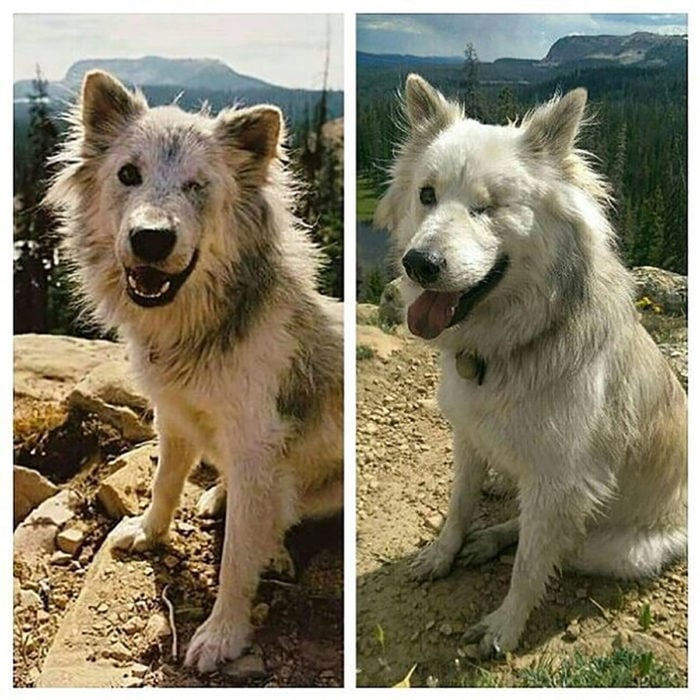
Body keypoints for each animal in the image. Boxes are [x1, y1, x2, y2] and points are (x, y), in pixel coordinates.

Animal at [47, 71, 344, 672]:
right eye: (128, 174)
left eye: (197, 186)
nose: (151, 238)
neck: (202, 327)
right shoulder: (174, 414)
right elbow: (165, 482)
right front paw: (147, 532)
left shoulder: (254, 443)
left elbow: (235, 559)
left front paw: (223, 634)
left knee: (281, 516)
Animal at [374, 75, 688, 656]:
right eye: (427, 194)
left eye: (488, 206)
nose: (418, 263)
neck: (508, 346)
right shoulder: (469, 439)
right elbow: (458, 506)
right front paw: (443, 554)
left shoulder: (559, 480)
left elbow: (528, 566)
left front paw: (504, 627)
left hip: (612, 546)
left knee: (555, 541)